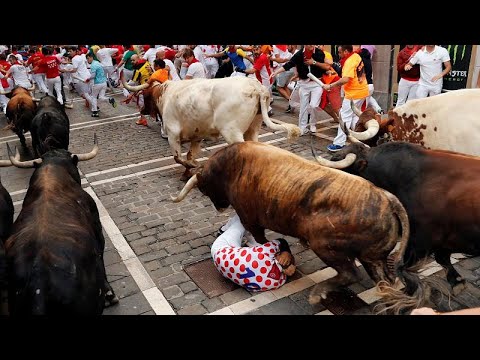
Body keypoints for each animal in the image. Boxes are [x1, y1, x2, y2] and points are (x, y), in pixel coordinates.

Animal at [123, 78, 300, 180]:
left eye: (144, 95)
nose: (142, 110)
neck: (165, 95)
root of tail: (256, 87)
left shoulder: (173, 135)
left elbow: (178, 158)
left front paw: (192, 167)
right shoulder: (196, 136)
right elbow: (190, 154)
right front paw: (188, 171)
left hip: (232, 132)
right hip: (253, 129)